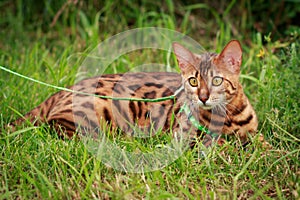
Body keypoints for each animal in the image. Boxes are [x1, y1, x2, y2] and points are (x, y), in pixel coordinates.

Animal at [8, 40, 258, 147]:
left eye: (217, 80)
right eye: (194, 81)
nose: (202, 97)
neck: (228, 116)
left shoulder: (255, 133)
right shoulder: (183, 137)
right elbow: (222, 145)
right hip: (101, 107)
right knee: (60, 128)